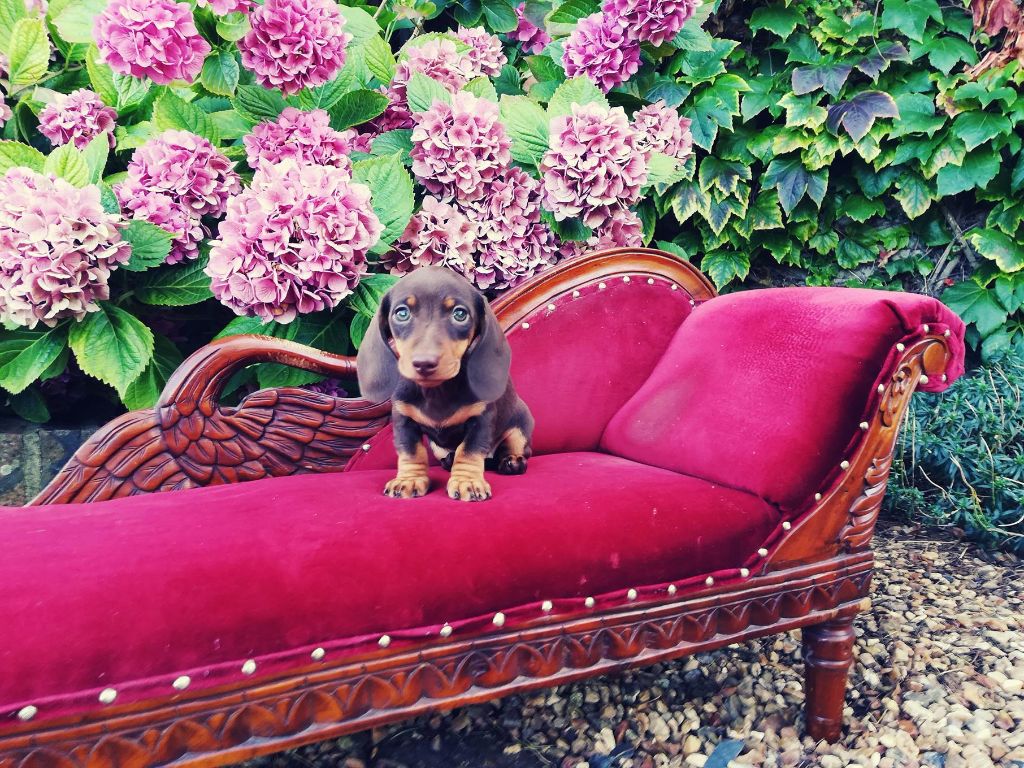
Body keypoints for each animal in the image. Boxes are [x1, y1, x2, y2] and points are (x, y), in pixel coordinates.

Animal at [356, 267, 534, 501]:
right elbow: (411, 451)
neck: (436, 391)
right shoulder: (403, 419)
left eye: (460, 314)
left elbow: (469, 451)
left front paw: (468, 482)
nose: (424, 362)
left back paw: (512, 461)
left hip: (520, 426)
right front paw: (409, 479)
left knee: (514, 448)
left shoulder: (481, 419)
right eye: (401, 313)